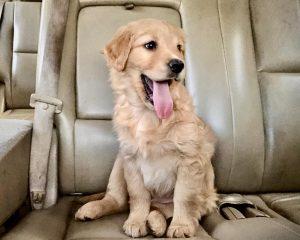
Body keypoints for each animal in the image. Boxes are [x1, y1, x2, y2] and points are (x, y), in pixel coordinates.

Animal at [74, 18, 217, 238]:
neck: (148, 115)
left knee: (168, 209)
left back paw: (157, 221)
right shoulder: (131, 159)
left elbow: (183, 197)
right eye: (150, 45)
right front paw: (136, 221)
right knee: (118, 200)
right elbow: (138, 196)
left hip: (206, 193)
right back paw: (93, 208)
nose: (179, 64)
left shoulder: (190, 160)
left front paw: (181, 225)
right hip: (119, 164)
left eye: (179, 48)